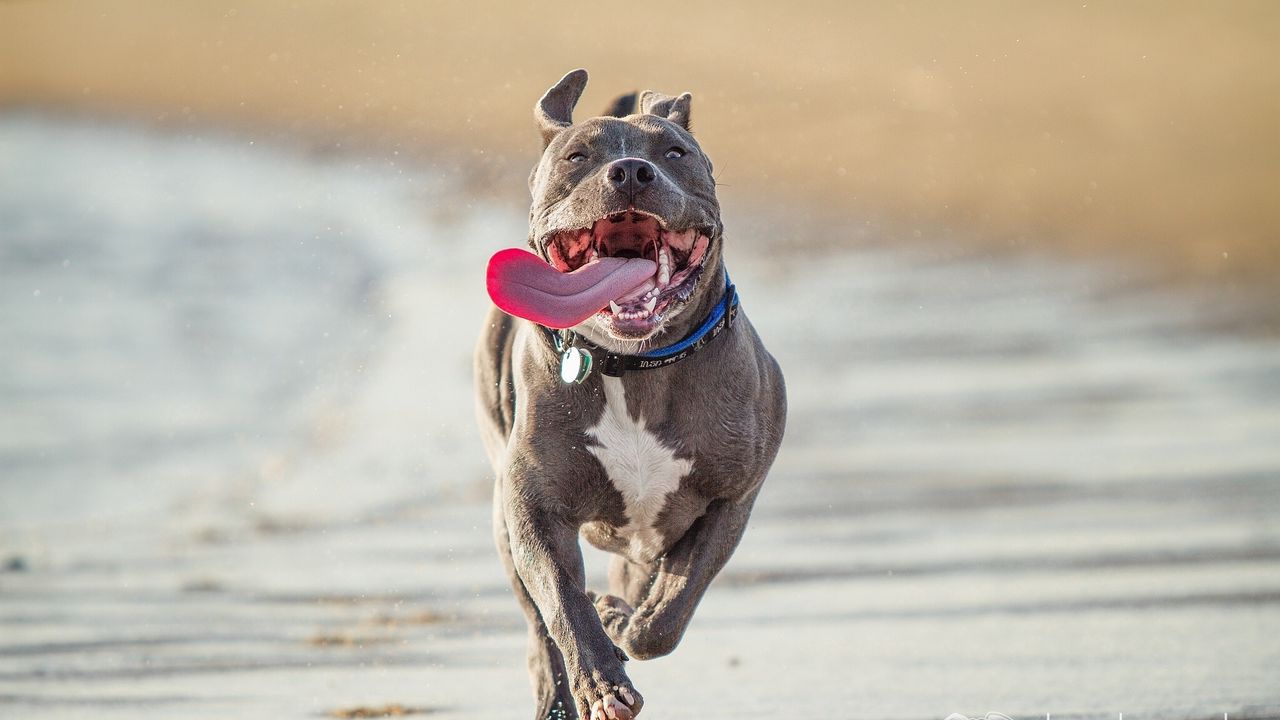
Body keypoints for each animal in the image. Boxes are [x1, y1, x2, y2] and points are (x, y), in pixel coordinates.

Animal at [476, 68, 783, 717]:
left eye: (674, 153)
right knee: (538, 624)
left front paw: (622, 624)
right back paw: (557, 692)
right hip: (501, 515)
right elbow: (562, 601)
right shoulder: (531, 507)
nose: (631, 171)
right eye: (577, 156)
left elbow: (669, 609)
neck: (637, 368)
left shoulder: (730, 500)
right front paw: (599, 679)